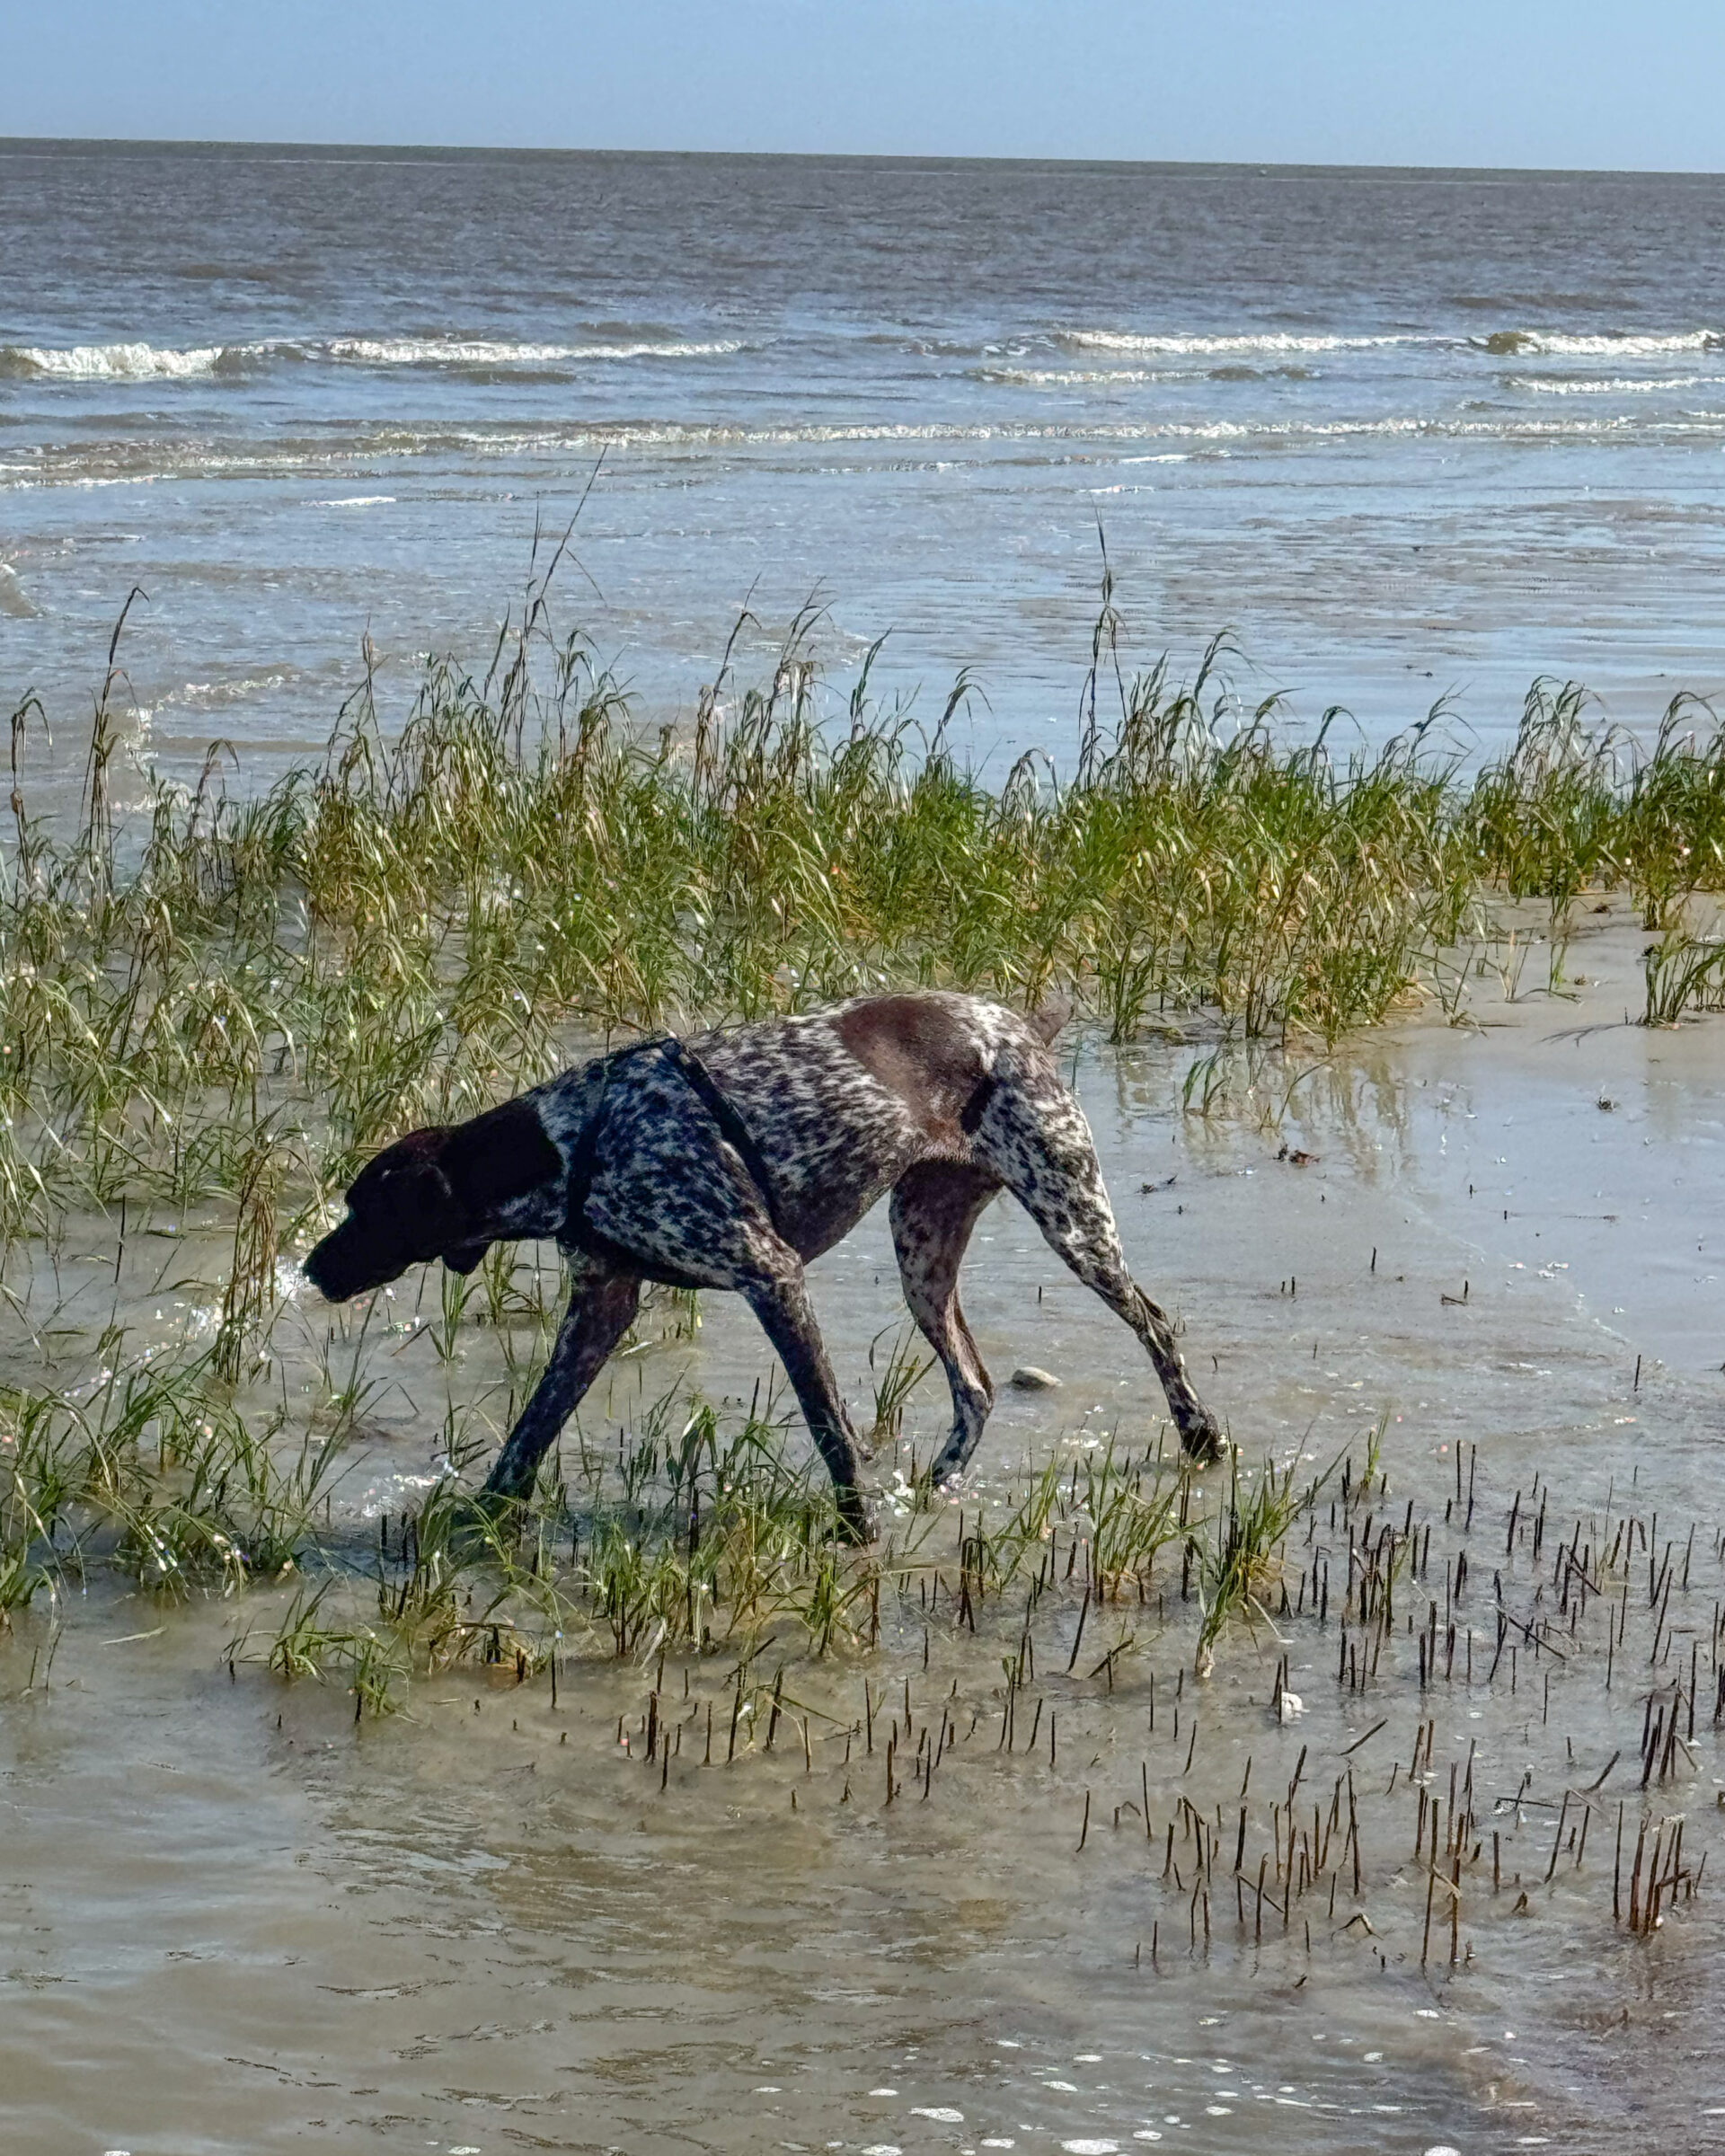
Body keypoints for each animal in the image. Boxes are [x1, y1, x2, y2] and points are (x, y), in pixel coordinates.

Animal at [310, 992, 1225, 1534]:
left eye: (366, 1208)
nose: (316, 1269)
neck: (574, 1144)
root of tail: (1018, 1025)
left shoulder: (771, 1276)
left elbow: (830, 1430)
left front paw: (857, 1533)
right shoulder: (601, 1306)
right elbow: (529, 1434)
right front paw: (480, 1522)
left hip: (1072, 1221)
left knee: (1156, 1327)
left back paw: (1201, 1435)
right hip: (923, 1253)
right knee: (975, 1385)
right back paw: (942, 1482)